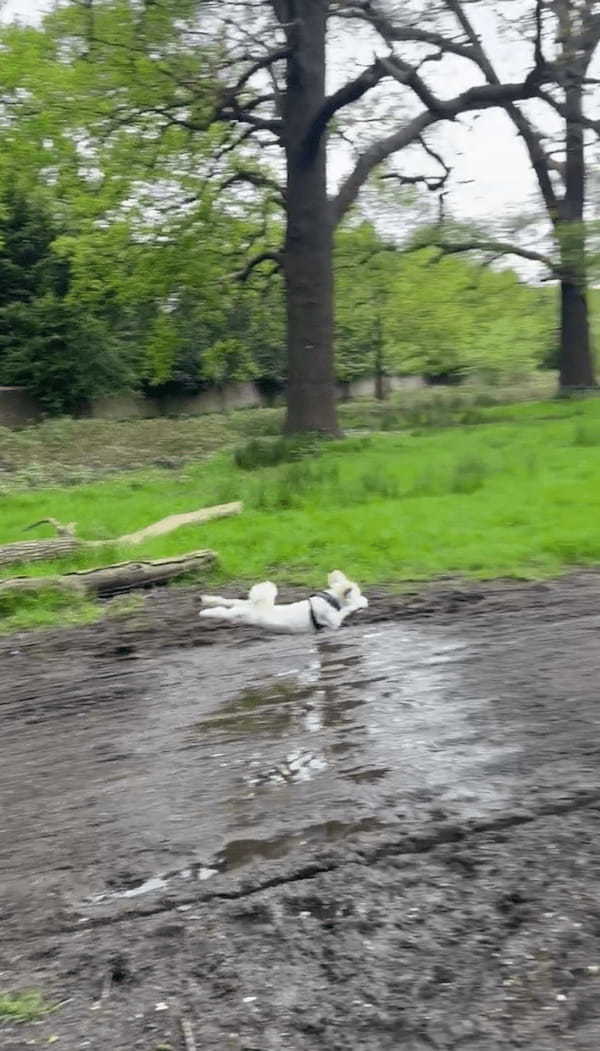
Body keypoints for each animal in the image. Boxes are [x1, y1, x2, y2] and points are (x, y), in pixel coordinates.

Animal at [199, 571, 367, 634]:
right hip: (242, 614)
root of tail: (258, 607)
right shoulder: (333, 621)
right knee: (223, 612)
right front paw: (357, 605)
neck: (329, 599)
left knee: (229, 602)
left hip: (243, 606)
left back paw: (208, 600)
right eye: (359, 594)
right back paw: (205, 612)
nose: (366, 602)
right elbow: (345, 611)